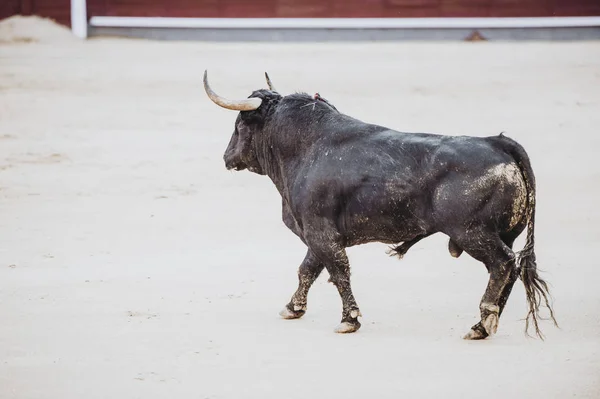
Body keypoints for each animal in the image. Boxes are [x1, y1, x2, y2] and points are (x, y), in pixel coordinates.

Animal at [205, 72, 556, 340]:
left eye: (239, 124)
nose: (226, 157)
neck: (305, 147)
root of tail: (497, 142)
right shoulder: (317, 234)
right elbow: (308, 269)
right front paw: (293, 308)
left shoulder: (320, 232)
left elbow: (338, 271)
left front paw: (349, 320)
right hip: (503, 233)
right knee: (511, 269)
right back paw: (487, 322)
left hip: (473, 233)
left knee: (502, 264)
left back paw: (480, 325)